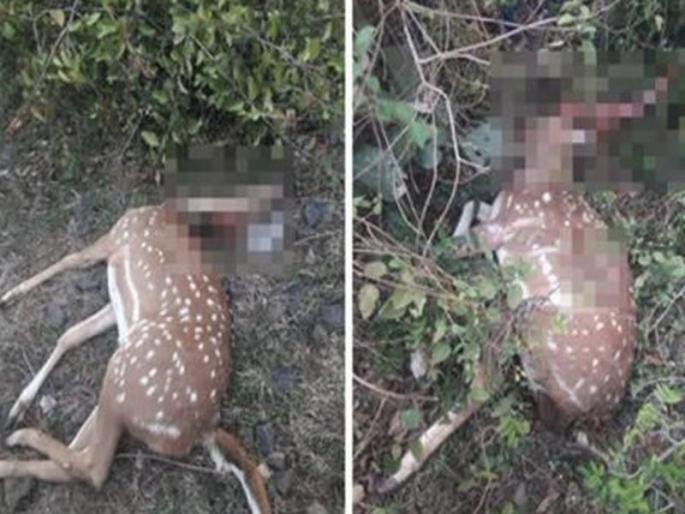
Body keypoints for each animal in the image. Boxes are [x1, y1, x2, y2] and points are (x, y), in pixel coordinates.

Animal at [0, 198, 275, 514]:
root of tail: (204, 427)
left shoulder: (116, 238)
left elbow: (71, 258)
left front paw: (9, 294)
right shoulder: (118, 304)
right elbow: (72, 334)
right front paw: (21, 402)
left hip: (129, 372)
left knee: (92, 465)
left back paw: (17, 440)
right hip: (125, 367)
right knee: (79, 453)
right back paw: (14, 439)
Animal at [376, 71, 669, 494]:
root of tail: (592, 411)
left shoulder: (505, 228)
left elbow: (444, 247)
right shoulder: (496, 219)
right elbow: (471, 207)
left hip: (536, 317)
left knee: (489, 379)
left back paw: (399, 463)